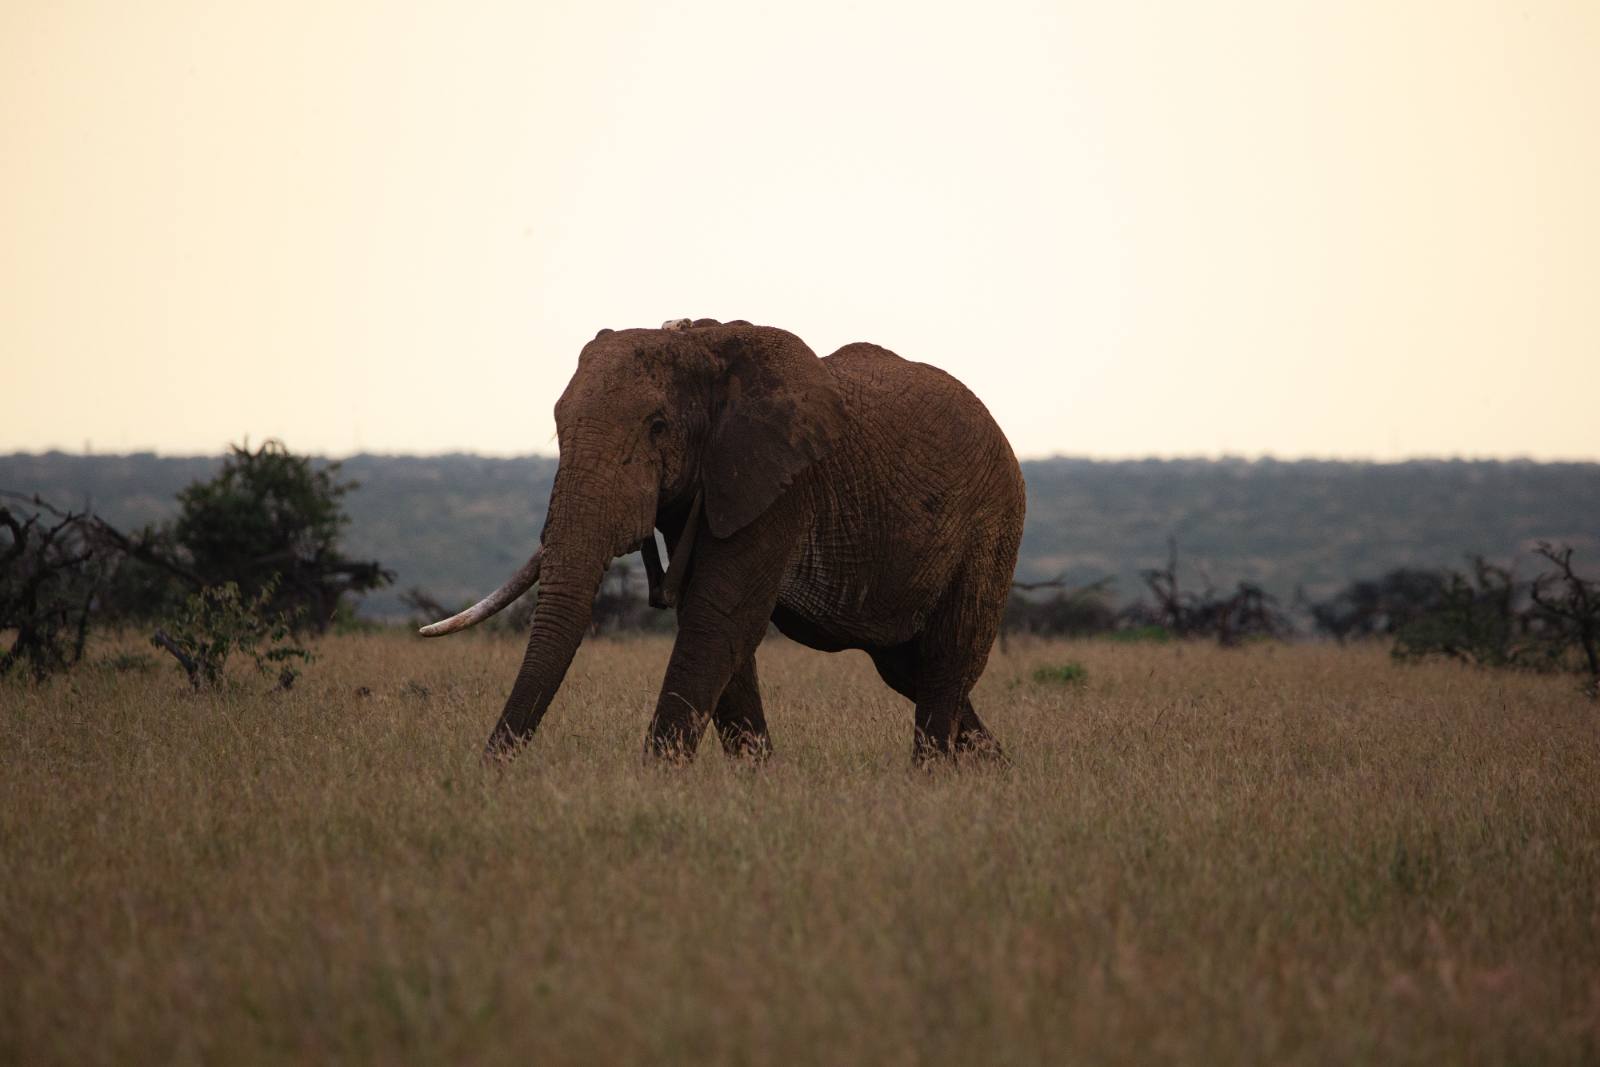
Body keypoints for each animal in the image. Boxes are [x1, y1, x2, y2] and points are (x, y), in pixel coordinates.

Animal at [421, 318, 1026, 764]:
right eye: (557, 425)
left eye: (658, 426)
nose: (491, 774)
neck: (701, 344)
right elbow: (716, 626)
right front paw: (760, 785)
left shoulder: (779, 483)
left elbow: (719, 617)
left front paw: (656, 785)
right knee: (908, 668)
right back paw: (995, 775)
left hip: (992, 522)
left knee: (946, 659)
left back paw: (931, 783)